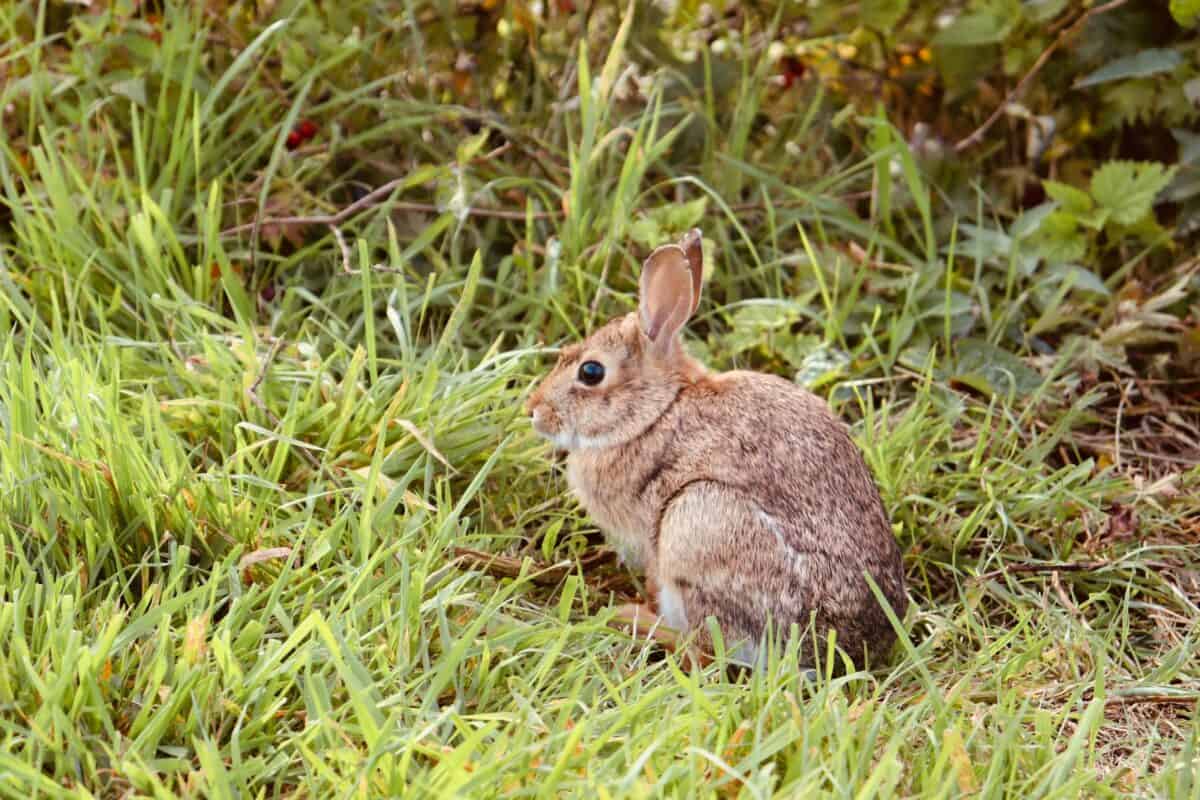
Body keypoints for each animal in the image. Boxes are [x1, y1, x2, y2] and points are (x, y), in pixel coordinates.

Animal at [524, 228, 908, 669]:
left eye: (590, 371)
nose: (534, 411)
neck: (658, 410)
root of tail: (838, 652)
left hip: (697, 521)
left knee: (705, 650)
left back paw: (632, 619)